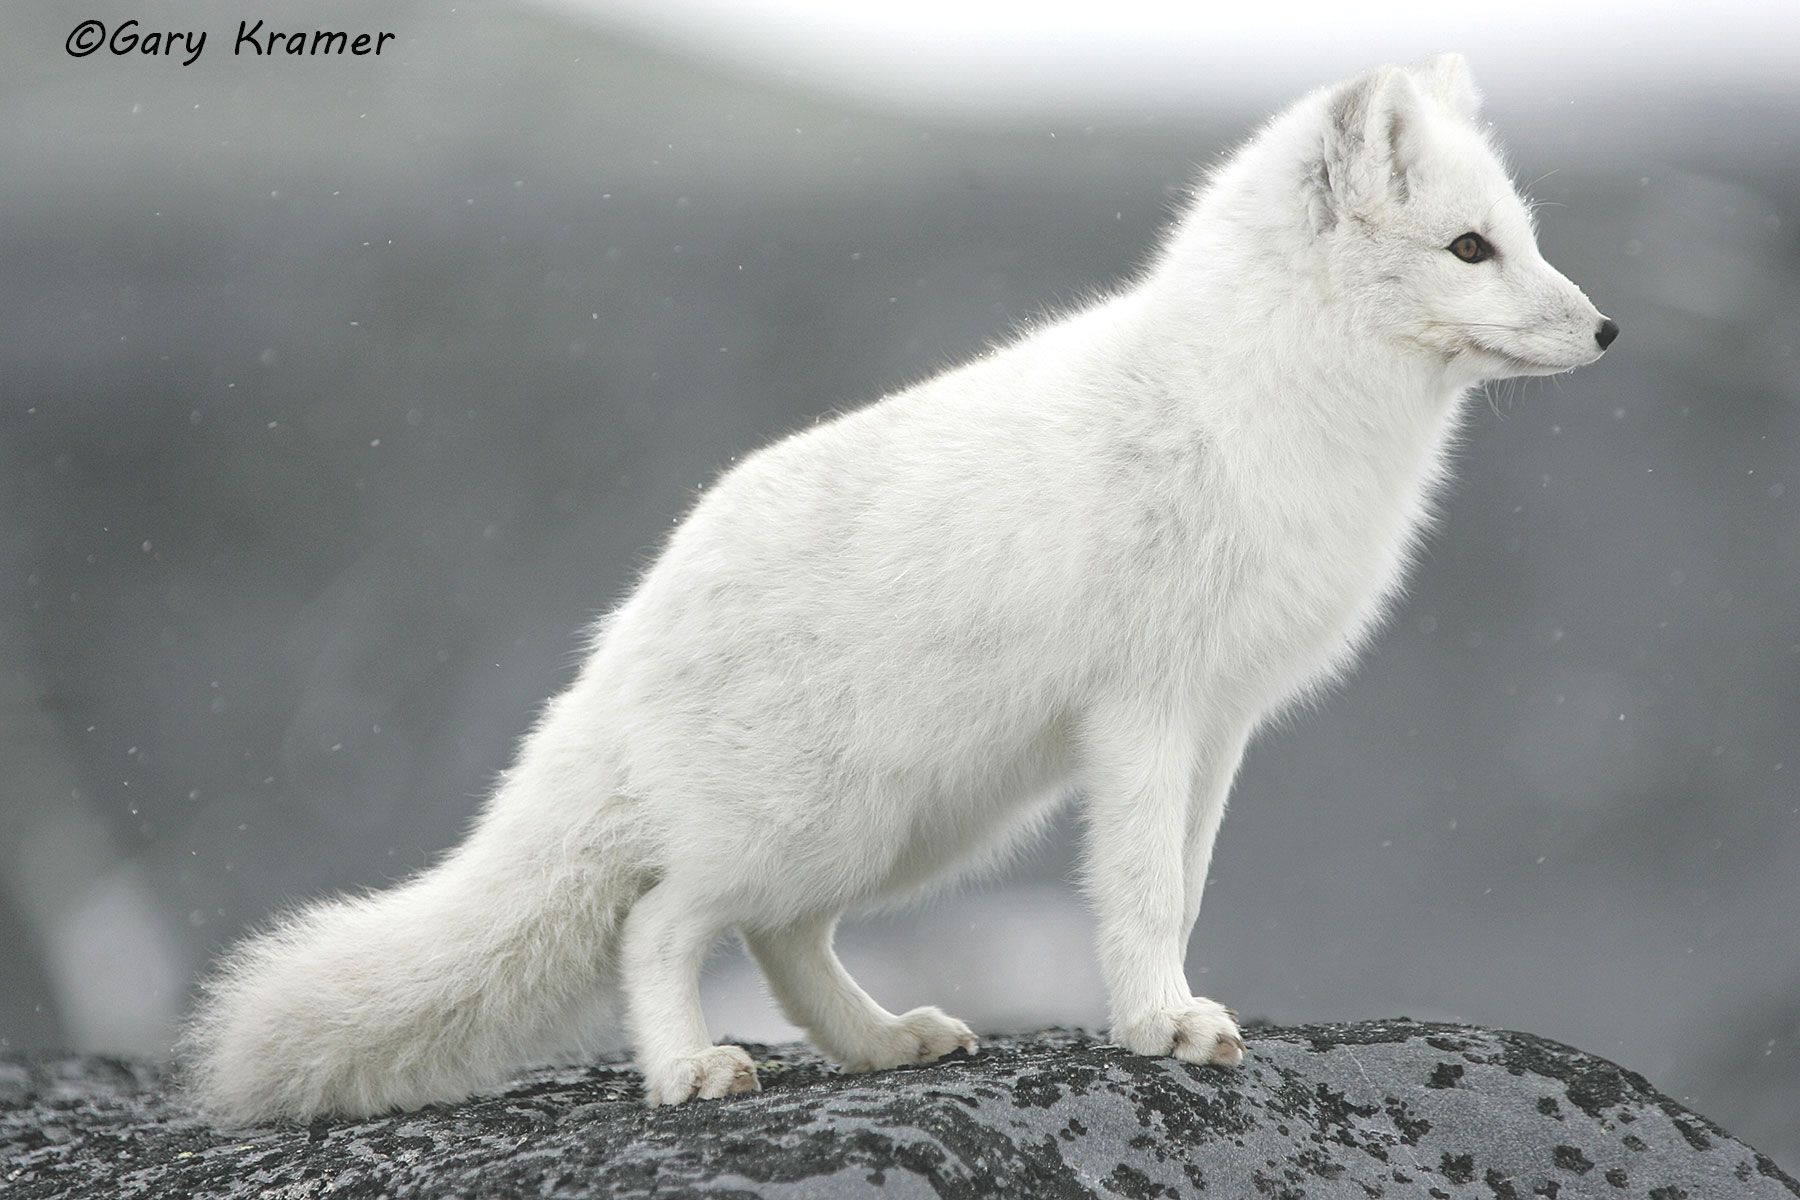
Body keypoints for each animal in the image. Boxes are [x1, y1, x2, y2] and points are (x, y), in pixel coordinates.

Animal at [184, 53, 1616, 1121]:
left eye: (1524, 238)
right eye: (1470, 247)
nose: (1608, 330)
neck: (1267, 409)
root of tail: (627, 628)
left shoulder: (1223, 722)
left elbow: (1187, 881)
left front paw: (1163, 1009)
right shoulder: (1147, 708)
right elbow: (1145, 888)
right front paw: (1163, 1023)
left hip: (909, 827)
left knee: (781, 943)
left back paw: (879, 1046)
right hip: (813, 822)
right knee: (658, 922)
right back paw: (690, 1069)